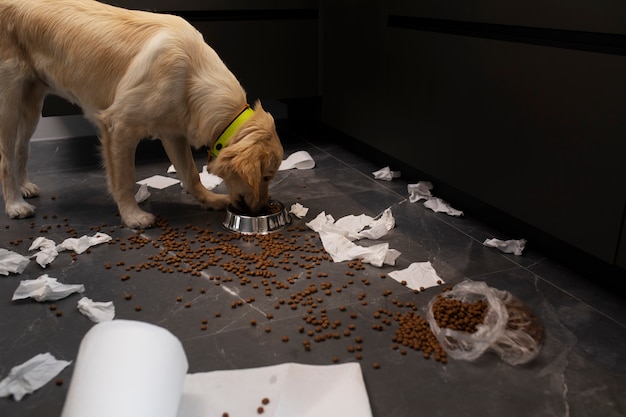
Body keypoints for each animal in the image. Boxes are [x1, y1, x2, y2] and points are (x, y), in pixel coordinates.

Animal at [0, 0, 282, 228]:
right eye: (266, 176)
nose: (262, 208)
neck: (192, 75)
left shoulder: (173, 133)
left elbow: (190, 174)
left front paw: (209, 200)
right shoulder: (119, 127)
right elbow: (125, 180)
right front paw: (133, 216)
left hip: (32, 104)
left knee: (22, 148)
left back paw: (24, 186)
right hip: (9, 101)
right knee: (6, 158)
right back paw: (15, 205)